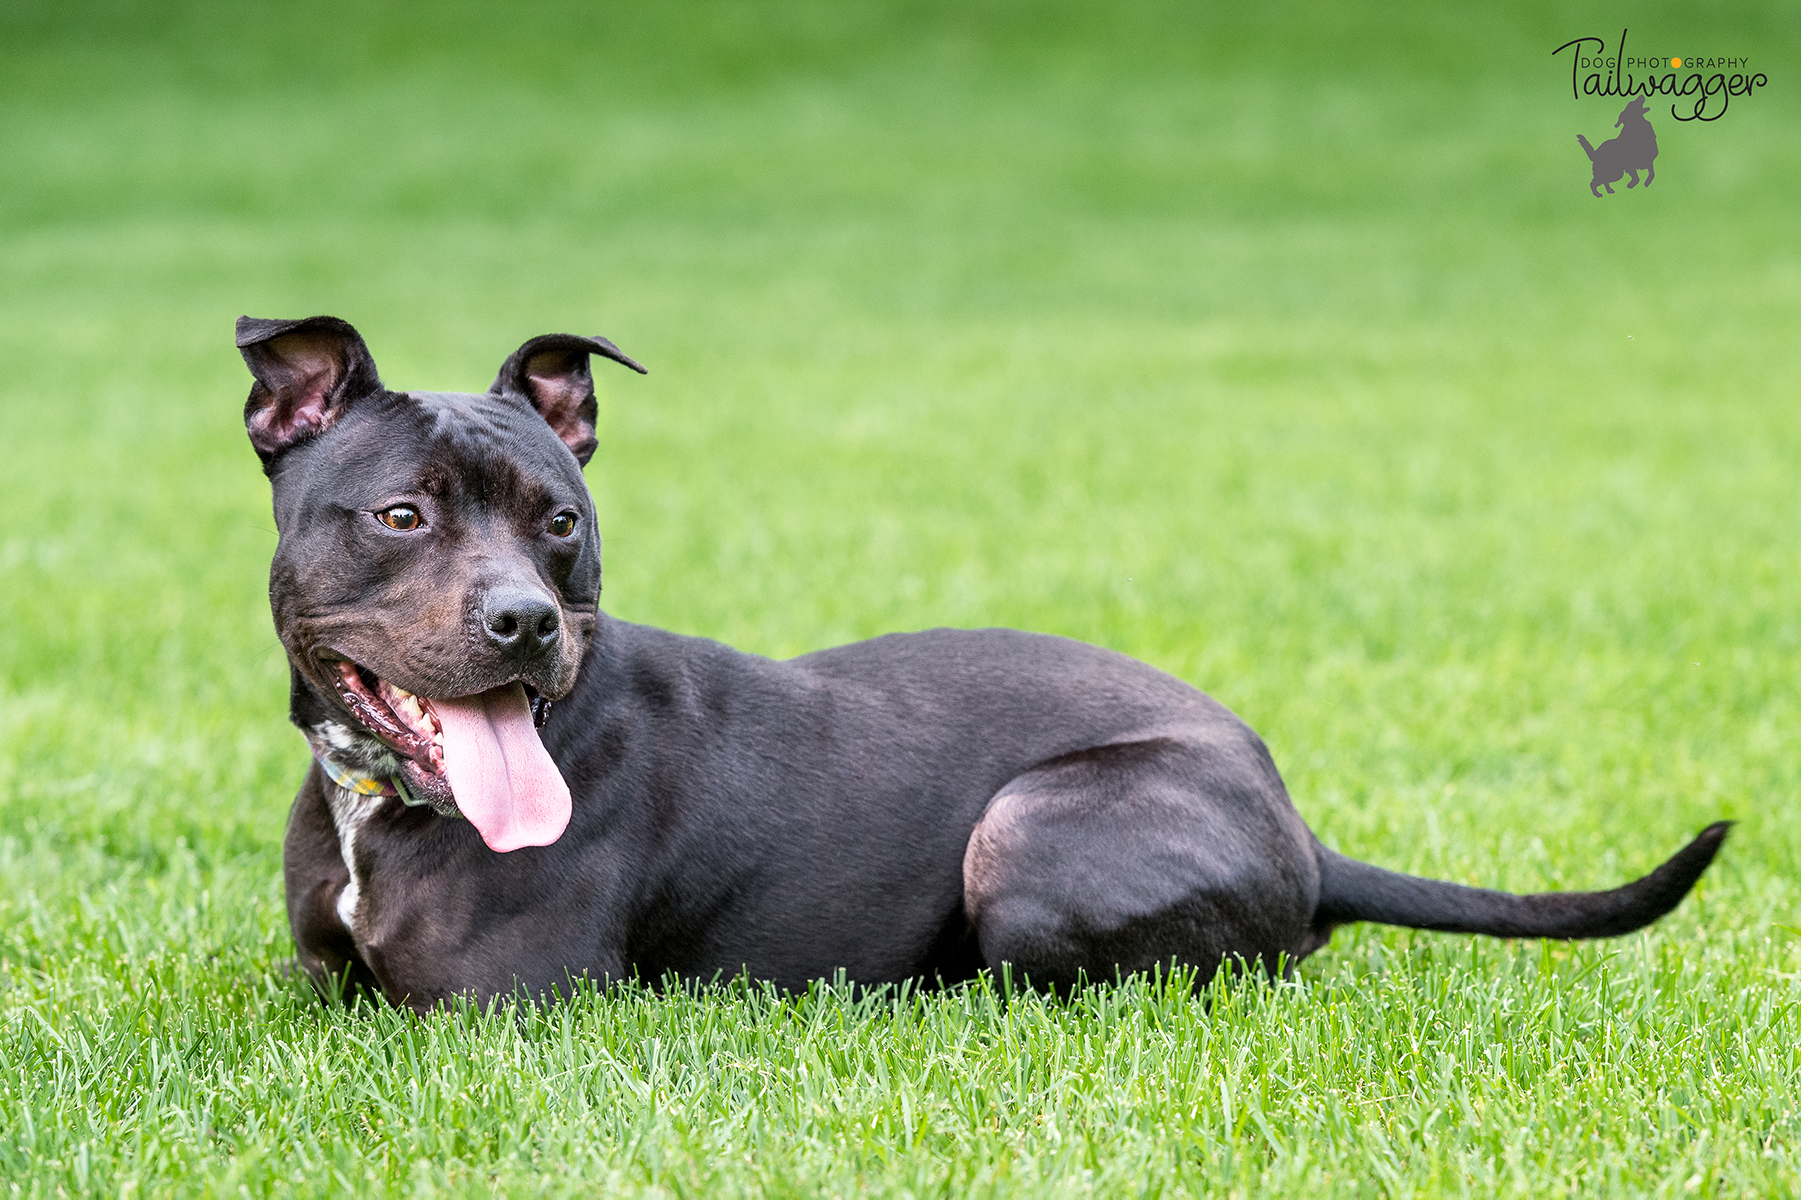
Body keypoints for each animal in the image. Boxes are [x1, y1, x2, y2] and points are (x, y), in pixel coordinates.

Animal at [243, 313, 1728, 1001]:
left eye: (560, 521)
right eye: (401, 515)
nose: (525, 624)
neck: (383, 803)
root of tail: (1305, 836)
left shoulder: (498, 1014)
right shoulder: (324, 997)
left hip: (1028, 828)